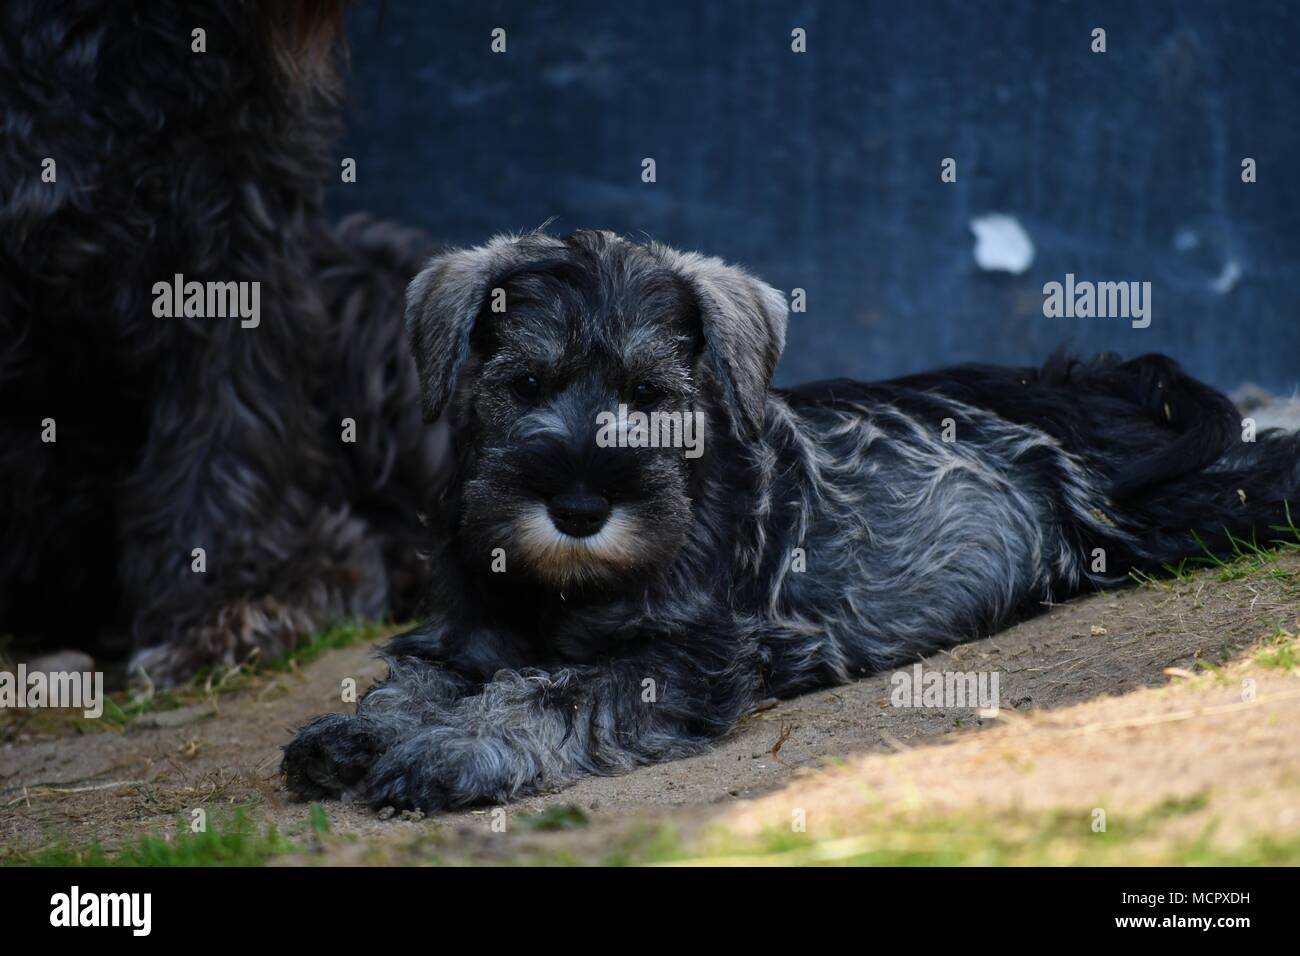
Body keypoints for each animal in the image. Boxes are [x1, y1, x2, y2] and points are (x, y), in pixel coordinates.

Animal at [284, 227, 1300, 811]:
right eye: (523, 385)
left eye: (650, 396)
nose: (576, 507)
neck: (559, 593)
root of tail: (1098, 382)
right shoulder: (463, 632)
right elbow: (423, 679)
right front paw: (360, 732)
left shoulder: (687, 658)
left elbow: (555, 691)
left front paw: (455, 751)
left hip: (1170, 508)